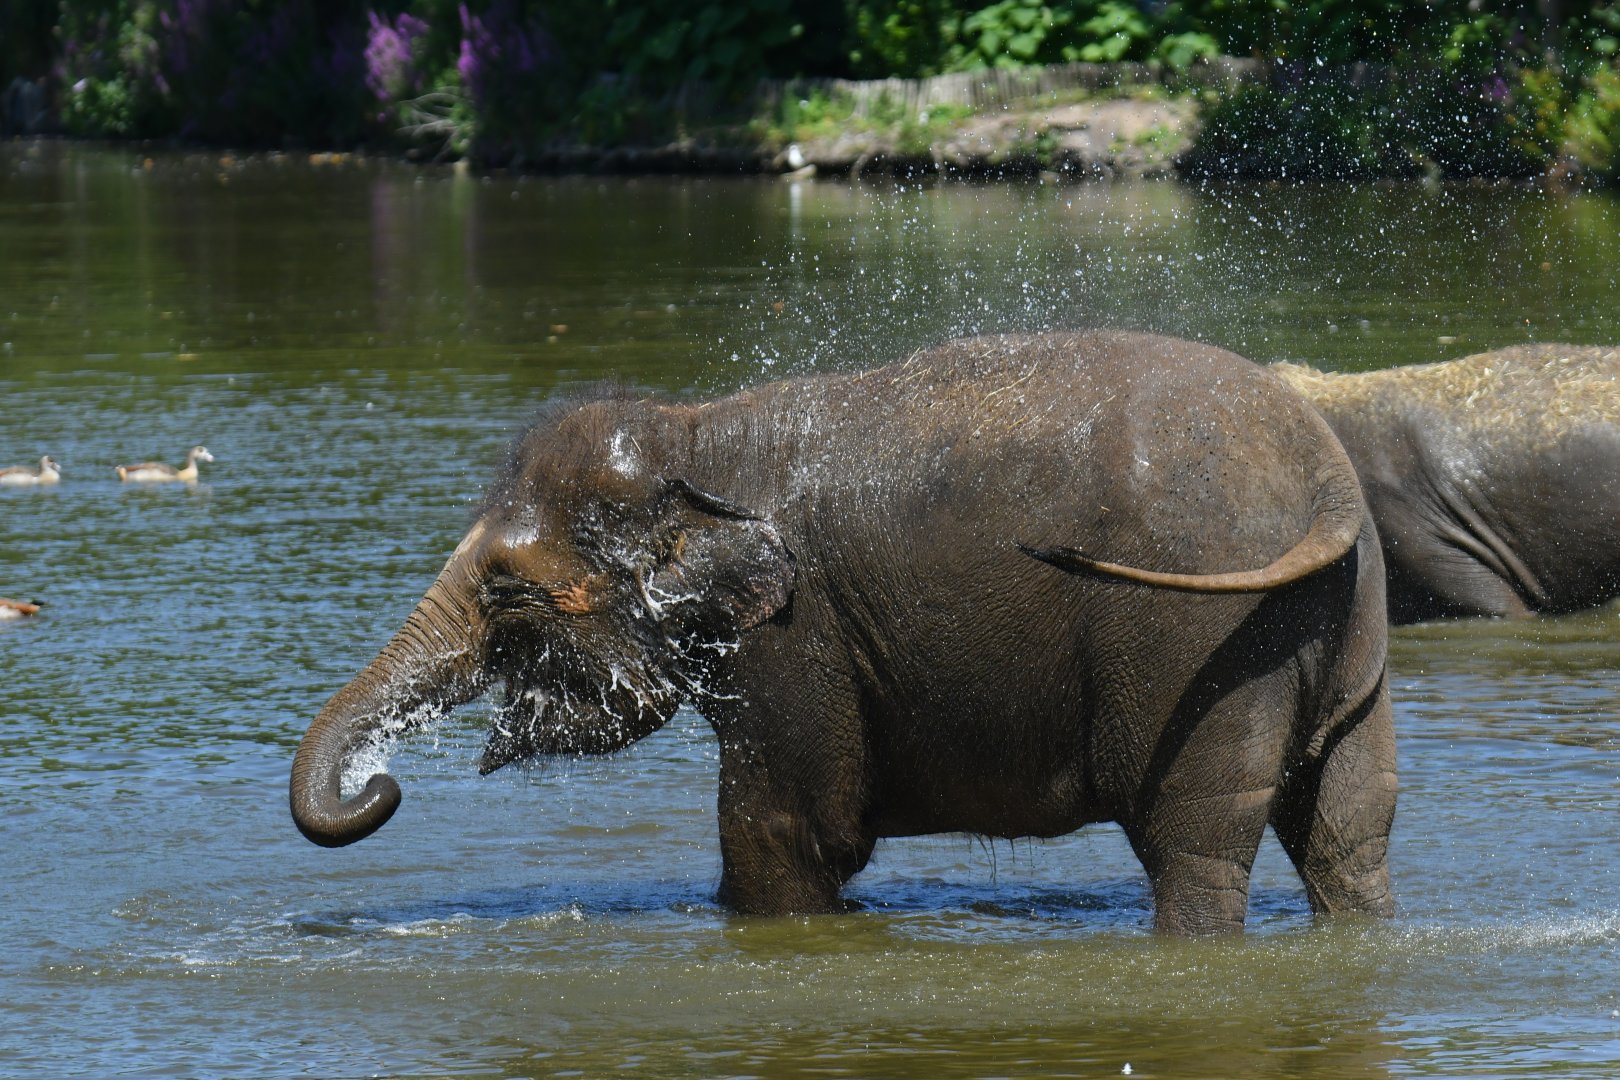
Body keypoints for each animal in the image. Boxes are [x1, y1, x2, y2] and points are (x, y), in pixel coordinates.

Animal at [290, 330, 1396, 936]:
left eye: (511, 595)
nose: (382, 786)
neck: (700, 431)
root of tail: (1323, 470)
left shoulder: (795, 637)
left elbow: (783, 834)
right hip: (1345, 633)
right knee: (1349, 830)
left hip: (1195, 642)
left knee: (1194, 849)